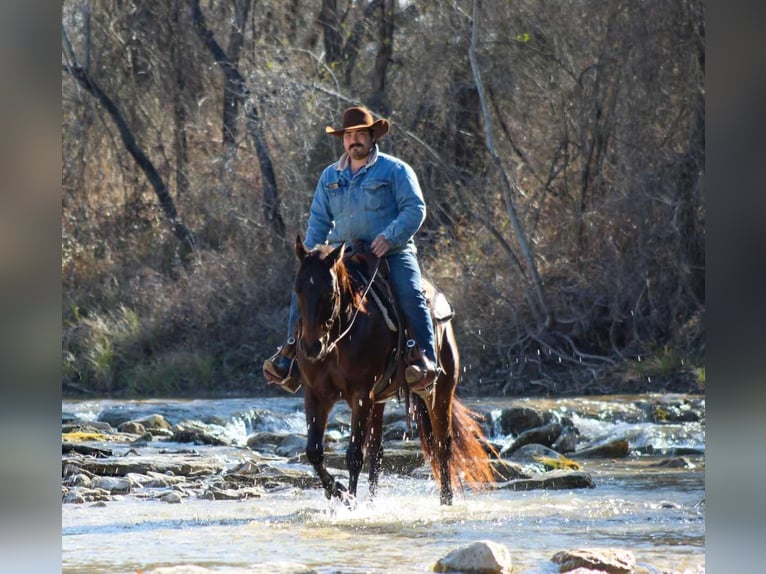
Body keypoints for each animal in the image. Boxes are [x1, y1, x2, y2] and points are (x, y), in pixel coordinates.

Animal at [291, 234, 496, 505]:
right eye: (298, 289)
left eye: (329, 291)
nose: (311, 347)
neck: (338, 341)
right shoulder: (316, 394)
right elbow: (314, 452)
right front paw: (338, 492)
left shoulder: (360, 395)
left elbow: (354, 454)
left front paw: (350, 500)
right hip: (379, 399)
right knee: (377, 449)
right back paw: (372, 501)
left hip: (440, 390)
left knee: (442, 444)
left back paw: (446, 502)